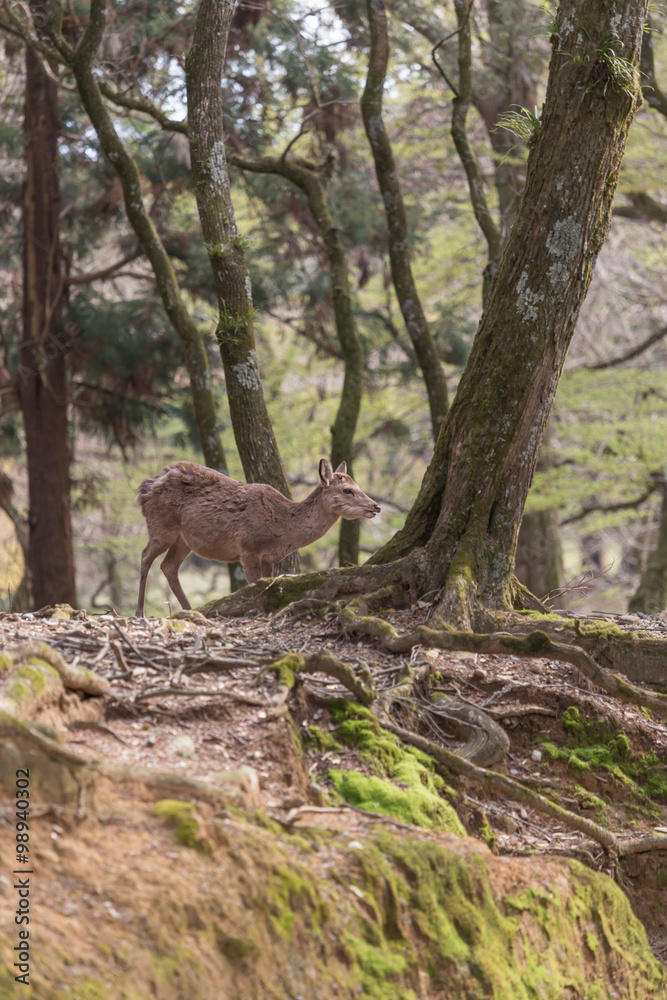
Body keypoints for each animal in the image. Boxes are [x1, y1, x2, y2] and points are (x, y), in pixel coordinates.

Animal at [134, 458, 380, 616]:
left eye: (357, 485)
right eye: (348, 490)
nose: (376, 507)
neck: (282, 528)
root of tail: (144, 488)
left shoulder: (269, 558)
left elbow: (266, 586)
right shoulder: (248, 547)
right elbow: (256, 587)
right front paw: (259, 613)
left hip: (184, 540)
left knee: (168, 566)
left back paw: (191, 611)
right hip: (161, 526)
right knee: (145, 556)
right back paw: (140, 613)